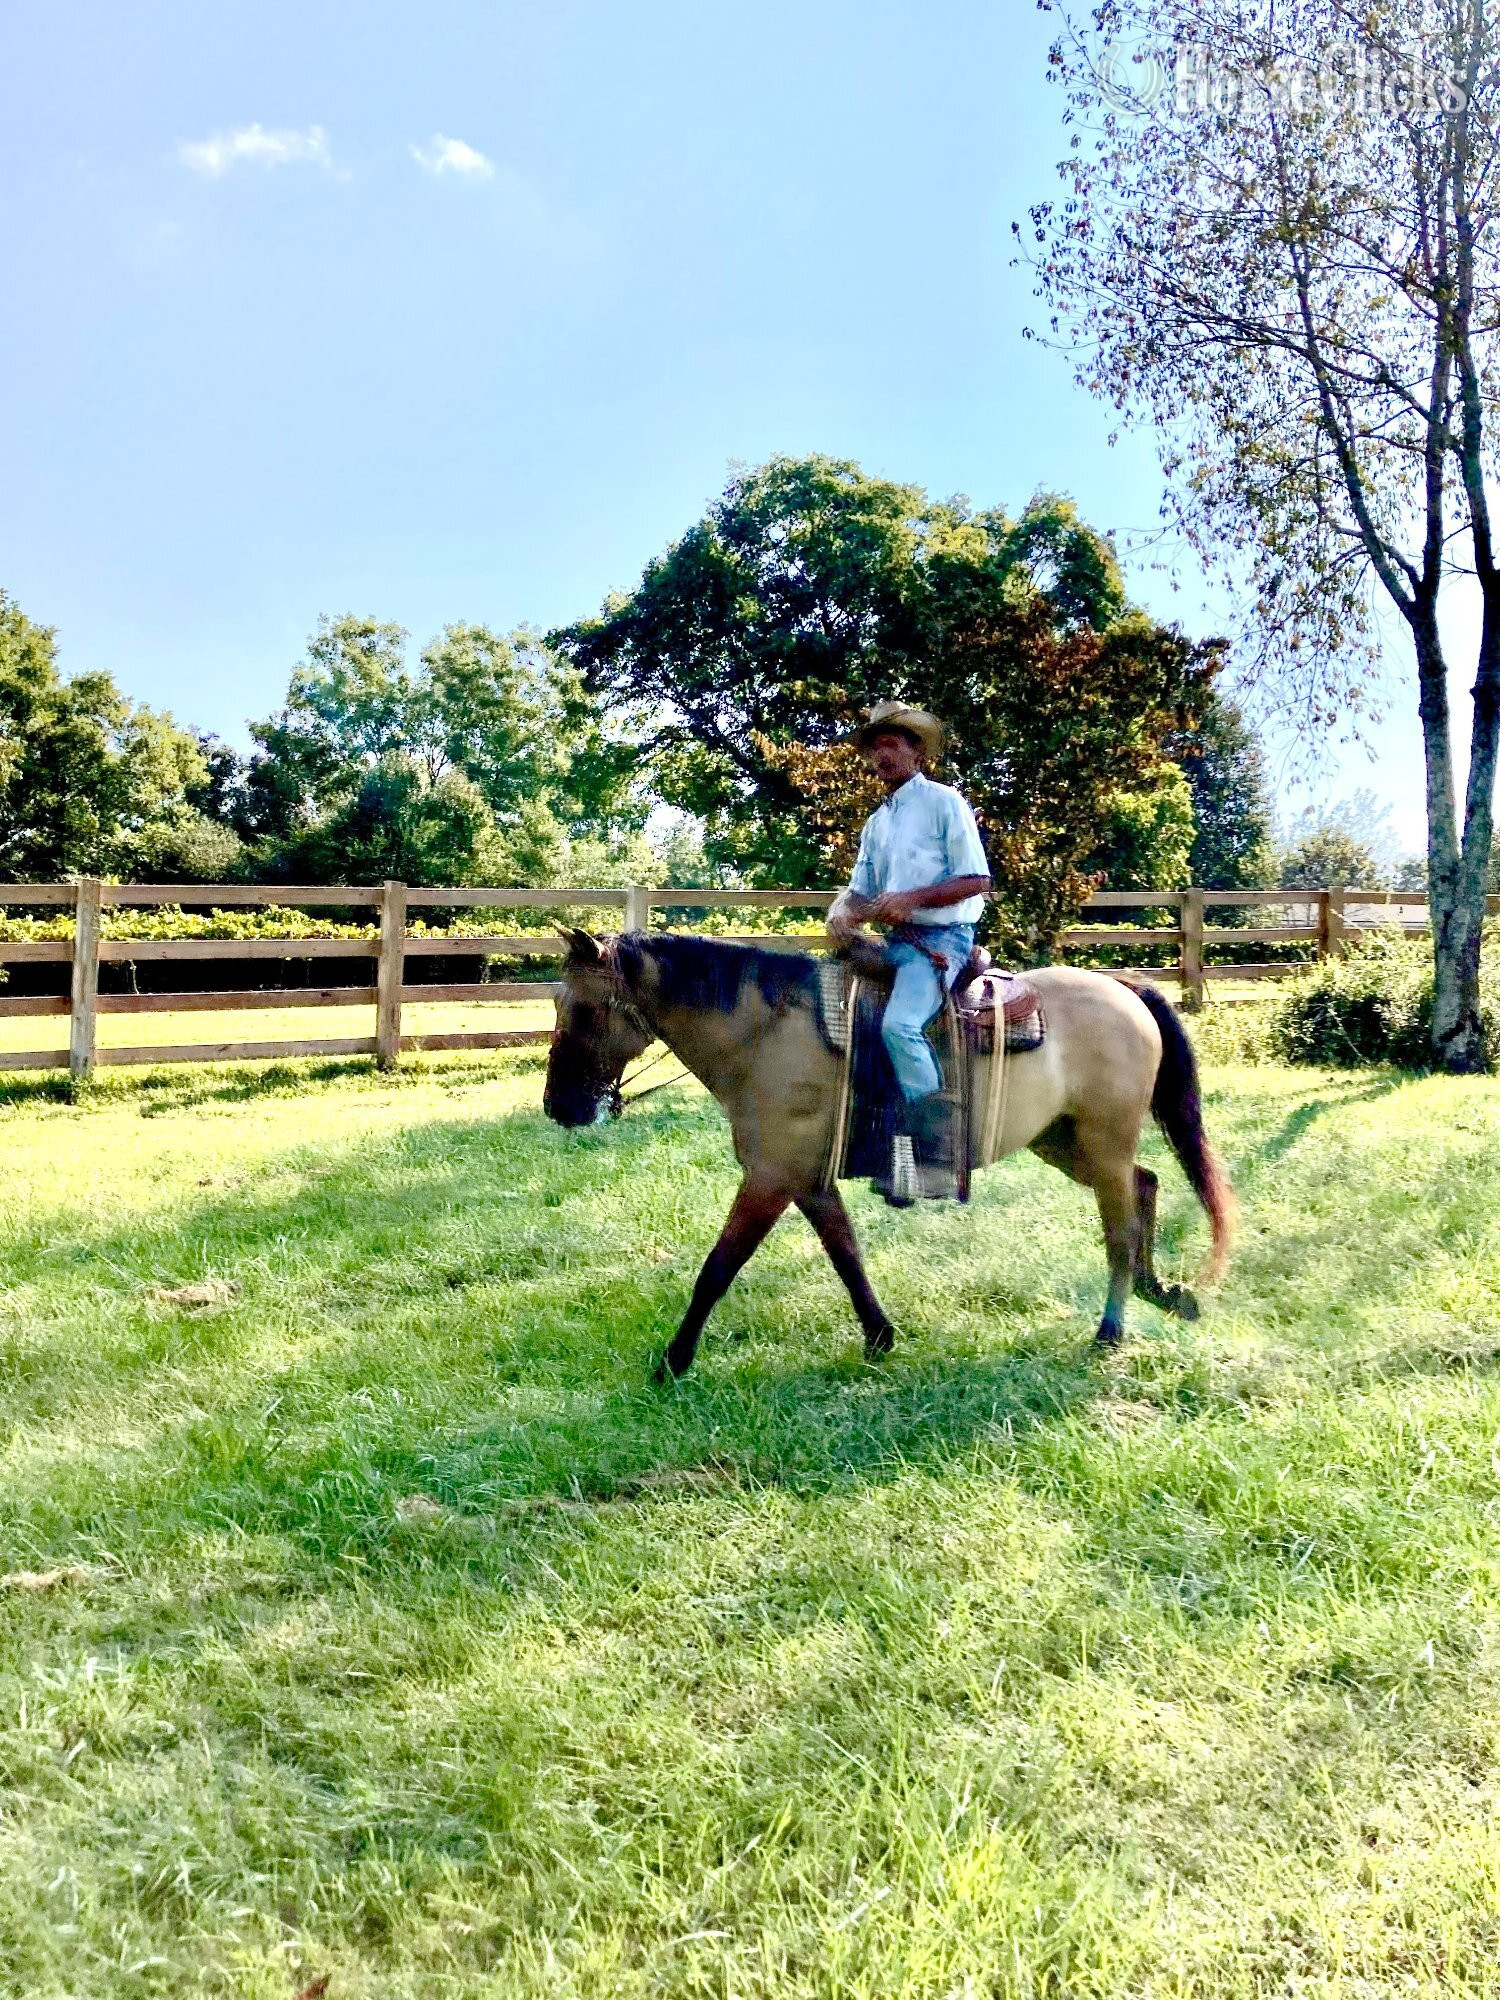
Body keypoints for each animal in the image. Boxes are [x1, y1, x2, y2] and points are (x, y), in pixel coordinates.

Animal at [543, 929, 1236, 1379]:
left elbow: (718, 1268)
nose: (559, 1106)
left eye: (585, 1009)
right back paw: (1159, 1291)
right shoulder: (807, 1181)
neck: (766, 1035)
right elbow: (846, 1254)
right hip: (1063, 1141)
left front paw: (673, 1361)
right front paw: (879, 1337)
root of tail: (1123, 989)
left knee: (1120, 1225)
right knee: (1145, 1184)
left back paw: (1111, 1331)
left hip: (1102, 1137)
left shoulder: (770, 1177)